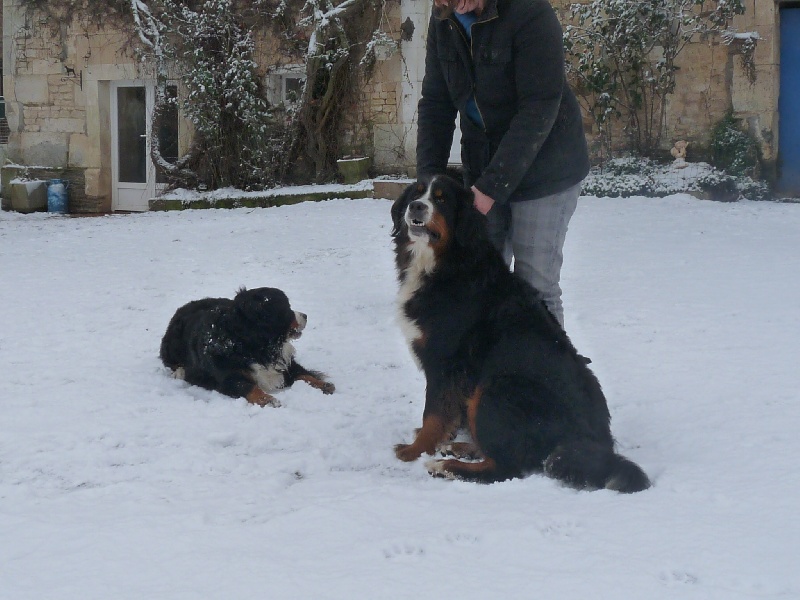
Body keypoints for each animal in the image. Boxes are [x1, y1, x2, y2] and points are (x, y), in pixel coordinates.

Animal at [159, 288, 334, 408]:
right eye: (287, 307)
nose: (305, 315)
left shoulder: (285, 363)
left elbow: (304, 374)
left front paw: (323, 384)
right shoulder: (229, 377)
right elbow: (249, 387)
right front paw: (268, 399)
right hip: (171, 344)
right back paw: (180, 371)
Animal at [392, 175, 648, 492]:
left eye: (441, 199)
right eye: (415, 194)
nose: (416, 206)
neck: (447, 263)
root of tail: (591, 442)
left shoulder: (445, 360)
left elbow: (433, 414)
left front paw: (414, 450)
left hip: (494, 389)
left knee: (506, 467)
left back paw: (446, 467)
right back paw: (461, 449)